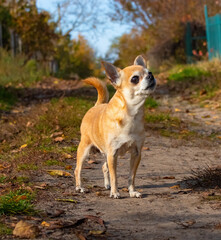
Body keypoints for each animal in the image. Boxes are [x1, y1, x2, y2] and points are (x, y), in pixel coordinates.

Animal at [75, 55, 156, 199]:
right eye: (135, 78)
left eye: (149, 72)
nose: (151, 76)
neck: (131, 114)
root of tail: (96, 105)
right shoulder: (113, 154)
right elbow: (115, 176)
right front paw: (115, 192)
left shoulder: (136, 153)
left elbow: (131, 176)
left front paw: (132, 191)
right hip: (85, 149)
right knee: (77, 169)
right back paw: (80, 187)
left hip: (105, 153)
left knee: (103, 166)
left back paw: (106, 185)